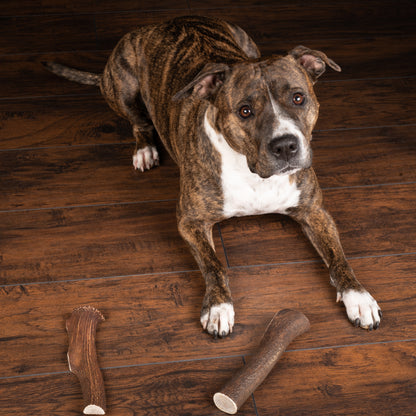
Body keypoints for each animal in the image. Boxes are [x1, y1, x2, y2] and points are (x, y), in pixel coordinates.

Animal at [44, 15, 380, 338]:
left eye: (298, 98)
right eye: (245, 111)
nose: (285, 145)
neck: (254, 174)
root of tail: (159, 24)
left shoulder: (314, 211)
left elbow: (338, 257)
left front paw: (358, 297)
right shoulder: (190, 221)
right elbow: (214, 265)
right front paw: (219, 308)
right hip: (122, 87)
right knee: (138, 121)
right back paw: (145, 150)